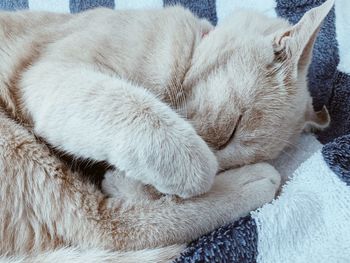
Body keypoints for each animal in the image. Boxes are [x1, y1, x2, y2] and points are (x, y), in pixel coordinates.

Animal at [0, 0, 332, 262]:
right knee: (99, 225)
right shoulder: (50, 75)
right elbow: (150, 122)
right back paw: (257, 181)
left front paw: (136, 182)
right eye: (231, 129)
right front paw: (190, 169)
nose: (221, 167)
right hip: (17, 144)